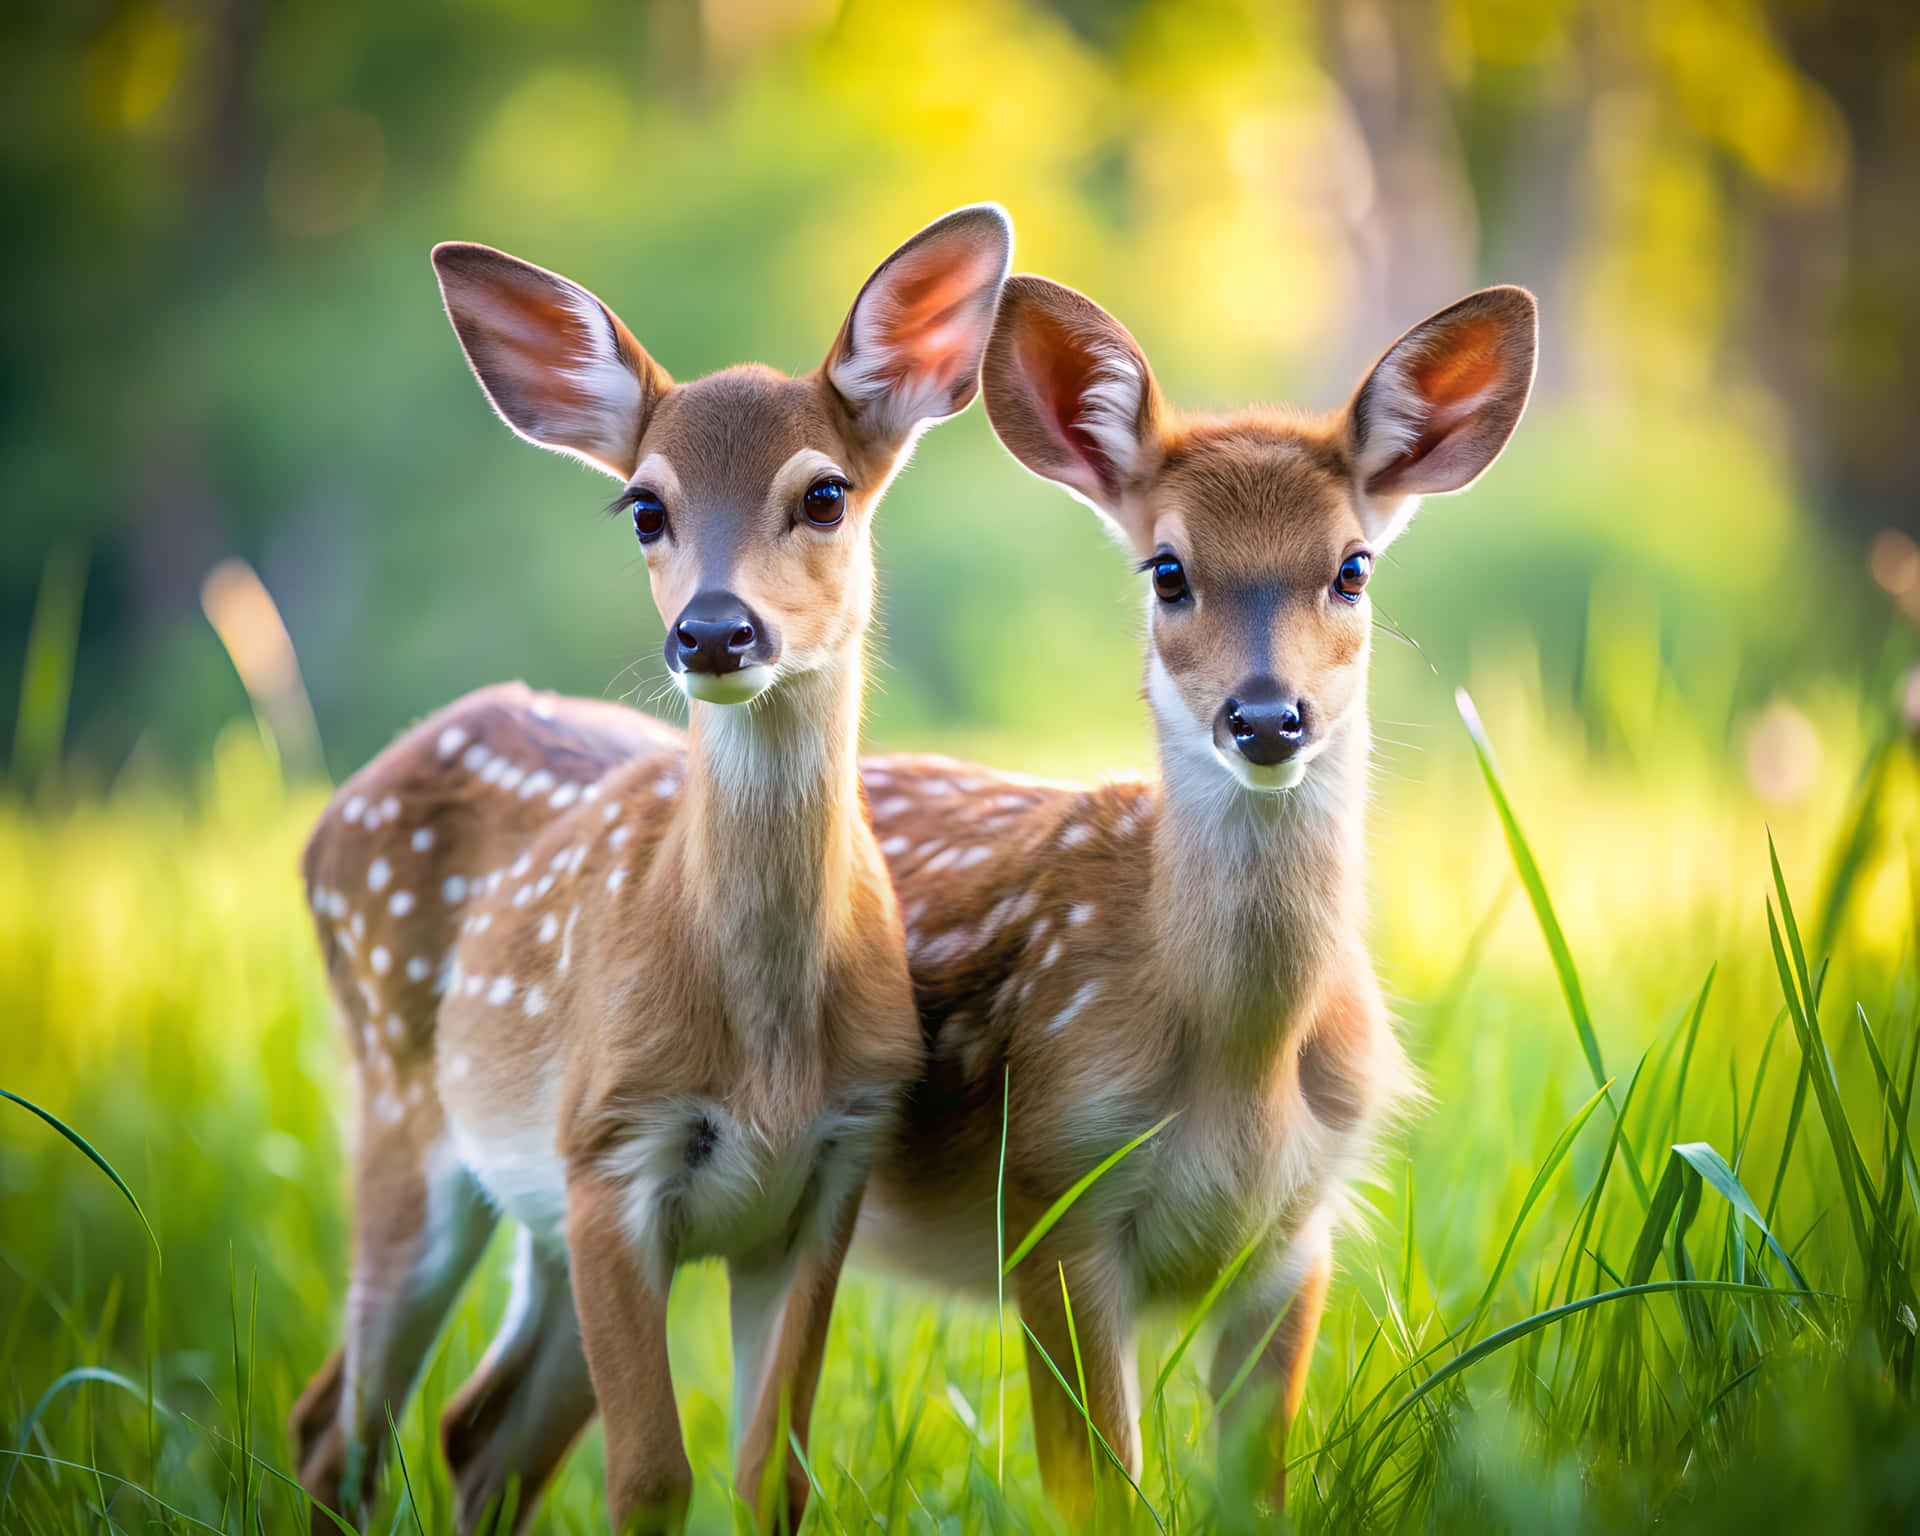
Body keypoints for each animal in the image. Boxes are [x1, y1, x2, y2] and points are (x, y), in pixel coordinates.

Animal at [287, 202, 1014, 1535]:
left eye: (824, 494)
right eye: (643, 507)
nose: (714, 631)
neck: (767, 1045)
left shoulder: (831, 1167)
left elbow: (769, 1469)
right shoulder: (611, 1152)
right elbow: (650, 1475)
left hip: (528, 1208)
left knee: (474, 1429)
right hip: (404, 1111)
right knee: (341, 1428)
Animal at [849, 275, 1538, 1517]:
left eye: (1353, 567)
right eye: (1167, 569)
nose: (1266, 716)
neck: (1244, 1069)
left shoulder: (1298, 1235)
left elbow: (1255, 1489)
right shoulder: (1054, 1194)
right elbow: (1100, 1493)